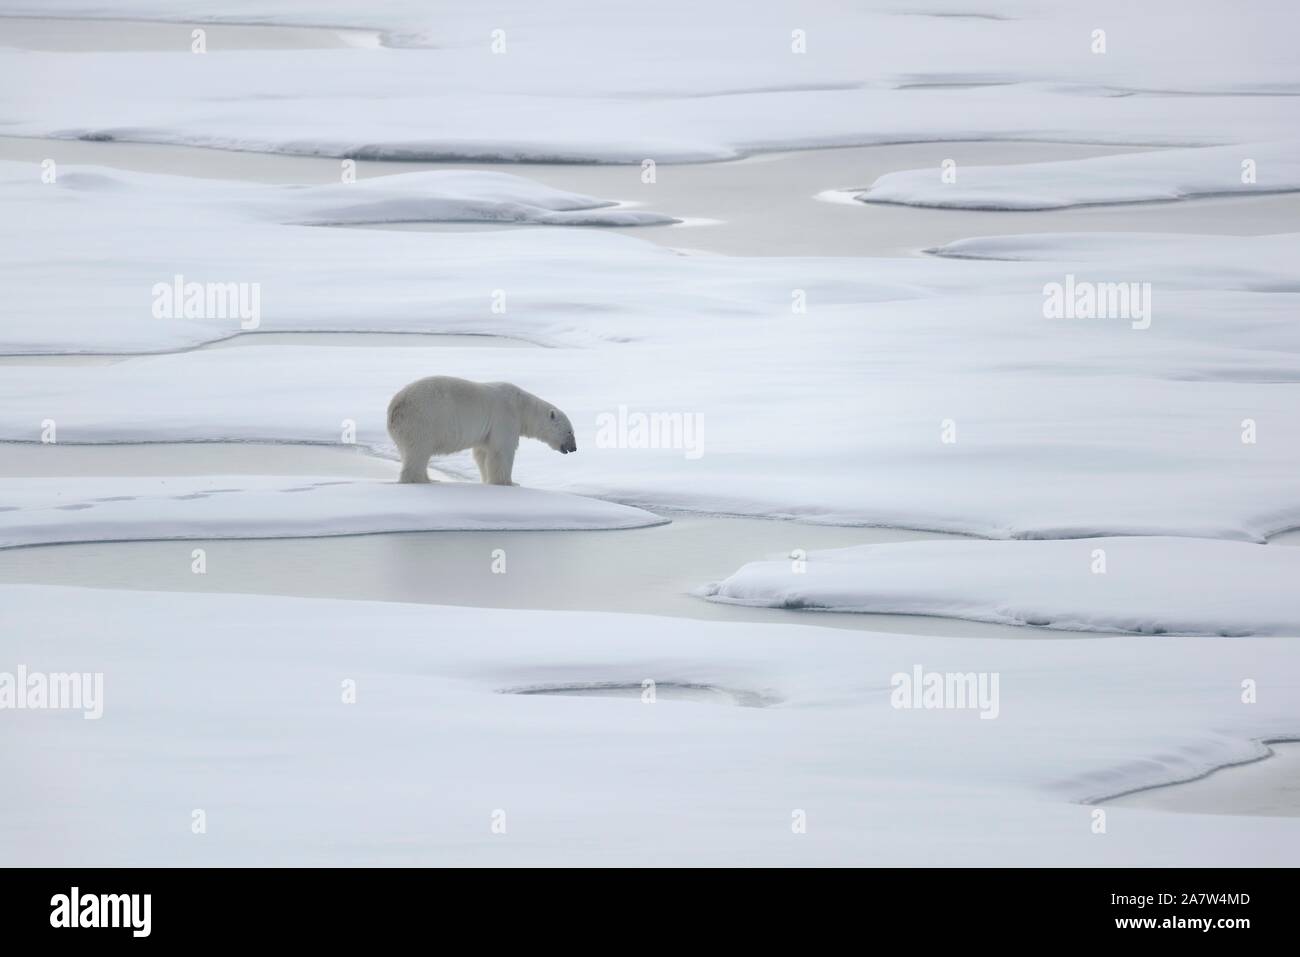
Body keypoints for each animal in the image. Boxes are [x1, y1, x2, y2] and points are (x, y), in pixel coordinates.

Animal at [379, 374, 574, 486]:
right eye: (570, 432)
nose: (574, 448)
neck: (521, 407)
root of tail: (394, 407)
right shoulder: (506, 416)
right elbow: (501, 450)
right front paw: (509, 483)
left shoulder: (488, 431)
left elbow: (482, 453)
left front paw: (487, 479)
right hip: (422, 420)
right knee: (418, 451)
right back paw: (420, 480)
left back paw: (428, 478)